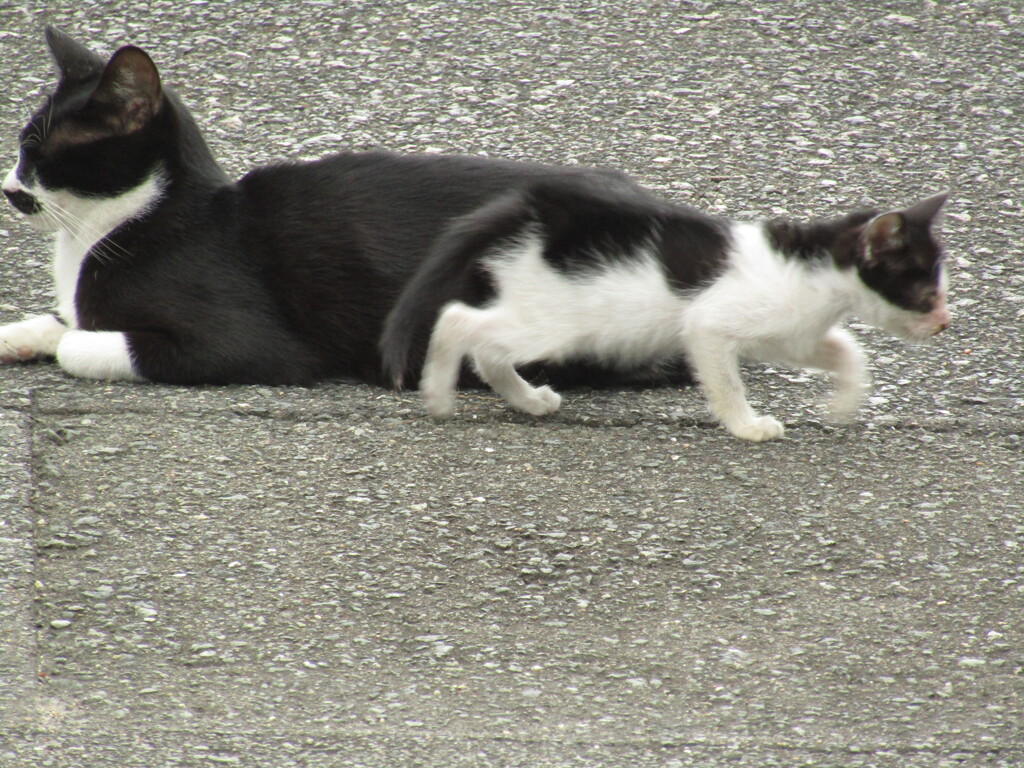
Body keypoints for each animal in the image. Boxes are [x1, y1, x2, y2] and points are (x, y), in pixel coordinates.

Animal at [2, 29, 663, 387]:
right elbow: (60, 319)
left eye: (40, 154)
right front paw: (19, 335)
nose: (9, 188)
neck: (100, 231)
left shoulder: (244, 341)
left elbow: (80, 342)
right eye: (22, 146)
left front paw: (64, 340)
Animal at [382, 175, 950, 438]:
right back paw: (438, 394)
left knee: (488, 349)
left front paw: (843, 405)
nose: (945, 323)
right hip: (558, 319)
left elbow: (848, 351)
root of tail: (530, 207)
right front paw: (746, 425)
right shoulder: (709, 323)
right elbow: (726, 381)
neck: (817, 270)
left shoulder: (791, 334)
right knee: (459, 321)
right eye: (925, 293)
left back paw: (527, 401)